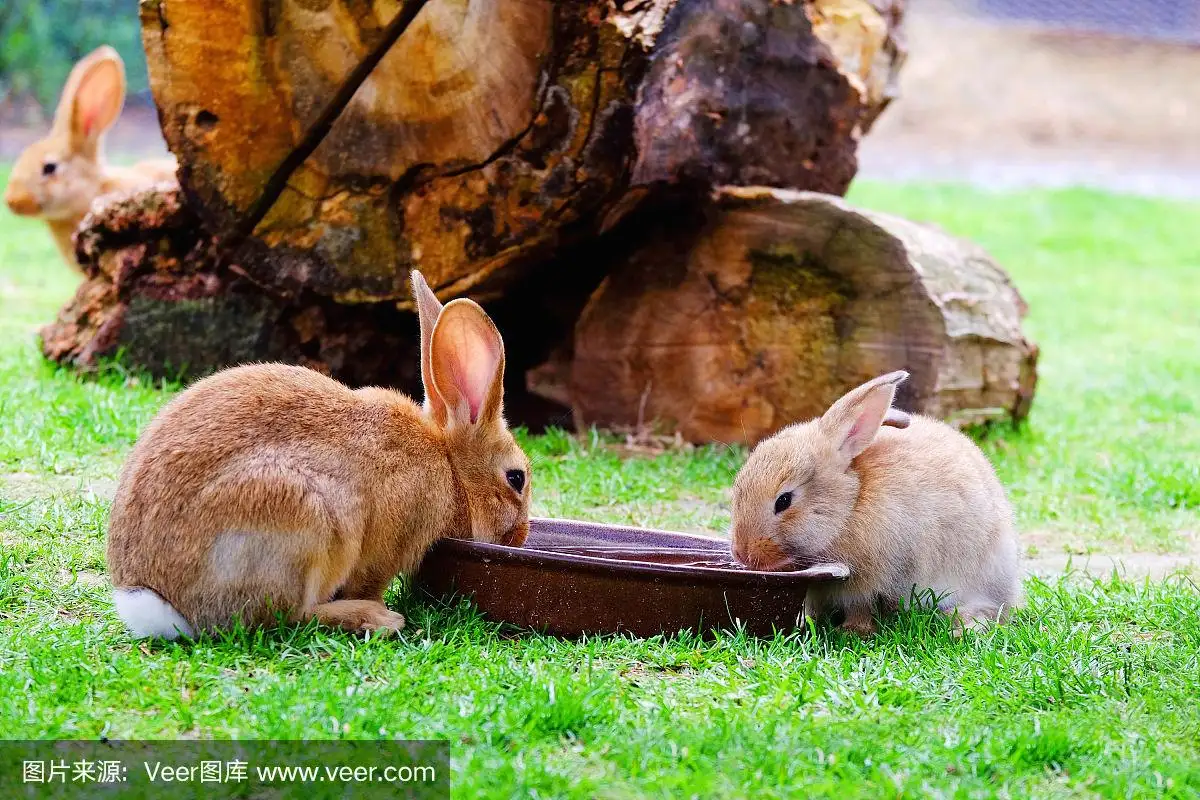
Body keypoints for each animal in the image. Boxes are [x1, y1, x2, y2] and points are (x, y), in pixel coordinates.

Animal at [108, 272, 530, 642]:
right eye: (517, 478)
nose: (521, 537)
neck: (448, 464)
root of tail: (157, 603)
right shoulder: (391, 539)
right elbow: (370, 579)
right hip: (304, 522)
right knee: (287, 616)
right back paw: (375, 618)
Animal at [724, 371, 1017, 638]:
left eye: (784, 500)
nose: (741, 554)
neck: (850, 506)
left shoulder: (870, 582)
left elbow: (861, 607)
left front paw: (854, 631)